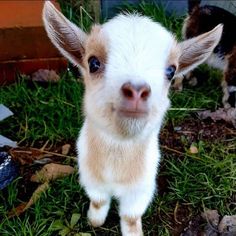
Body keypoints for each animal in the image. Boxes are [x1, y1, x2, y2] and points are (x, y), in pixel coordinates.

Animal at [42, 2, 221, 236]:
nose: (137, 91)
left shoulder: (142, 188)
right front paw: (94, 220)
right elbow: (99, 201)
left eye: (171, 71)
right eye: (93, 62)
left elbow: (130, 216)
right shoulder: (91, 177)